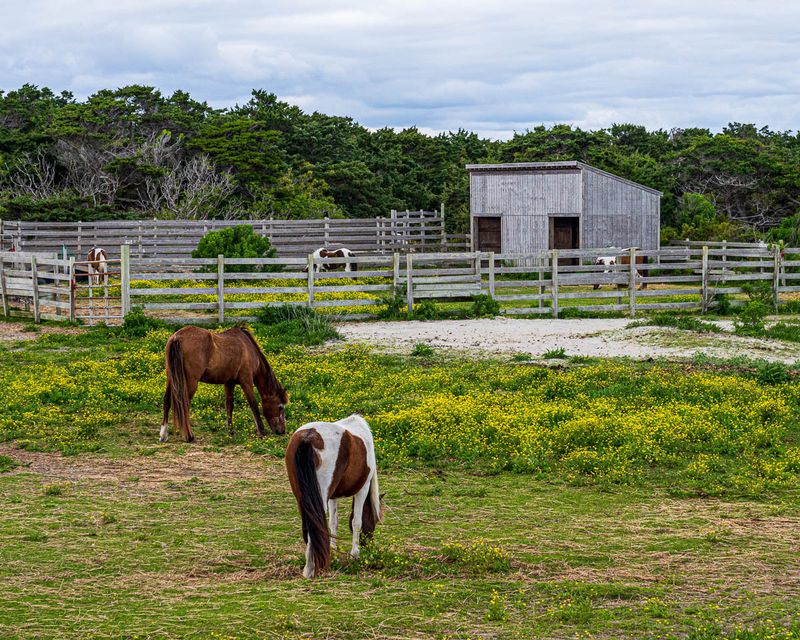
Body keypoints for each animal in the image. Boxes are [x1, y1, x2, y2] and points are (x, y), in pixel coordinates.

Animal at [285, 414, 383, 578]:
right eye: (374, 521)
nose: (368, 544)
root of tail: (308, 436)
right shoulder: (363, 489)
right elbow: (357, 522)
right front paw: (355, 554)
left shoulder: (333, 496)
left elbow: (333, 523)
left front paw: (334, 551)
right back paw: (312, 568)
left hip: (302, 497)